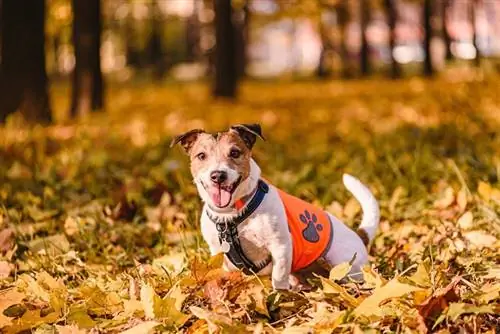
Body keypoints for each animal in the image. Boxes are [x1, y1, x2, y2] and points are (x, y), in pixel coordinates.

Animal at [172, 123, 378, 290]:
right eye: (201, 156)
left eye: (235, 153)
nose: (218, 175)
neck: (232, 215)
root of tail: (359, 236)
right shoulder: (218, 252)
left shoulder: (280, 246)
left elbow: (278, 277)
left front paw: (280, 297)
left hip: (344, 265)